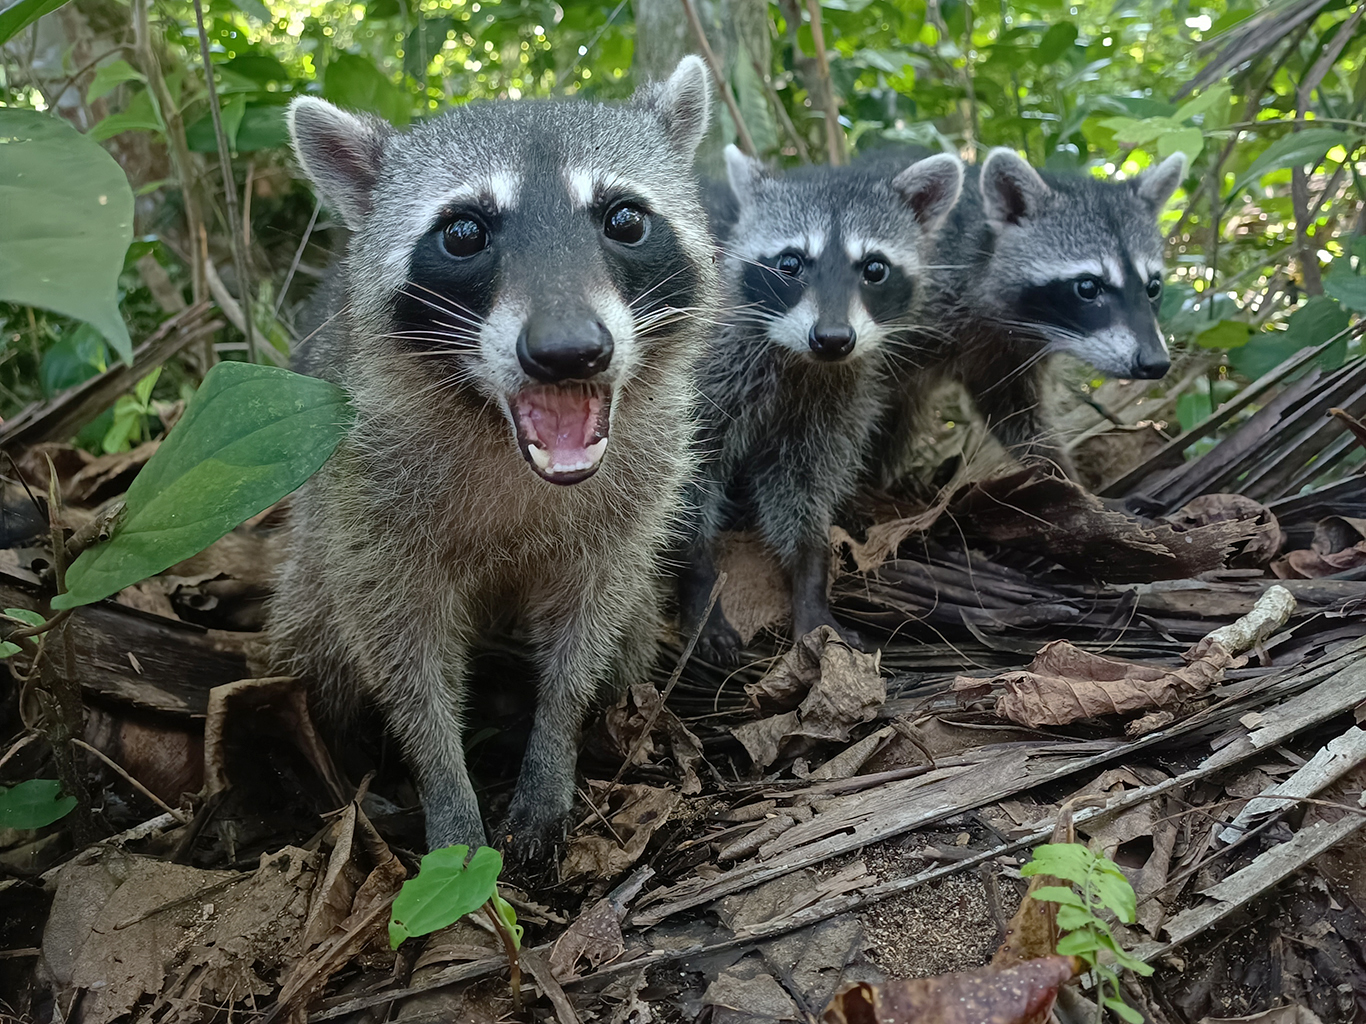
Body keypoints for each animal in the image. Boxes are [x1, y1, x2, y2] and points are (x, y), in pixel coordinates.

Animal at [266, 55, 715, 857]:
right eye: (465, 232)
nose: (568, 349)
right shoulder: (362, 498)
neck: (506, 438)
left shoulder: (636, 492)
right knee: (316, 645)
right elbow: (399, 645)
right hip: (313, 564)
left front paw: (554, 747)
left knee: (631, 631)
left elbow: (590, 623)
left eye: (625, 220)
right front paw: (444, 786)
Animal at [680, 148, 961, 669]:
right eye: (790, 263)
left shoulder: (835, 403)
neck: (804, 362)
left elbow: (803, 488)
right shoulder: (704, 378)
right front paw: (699, 580)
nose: (832, 339)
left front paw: (810, 578)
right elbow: (683, 484)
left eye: (874, 268)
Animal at [874, 146, 1185, 483]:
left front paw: (1061, 477)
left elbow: (1019, 419)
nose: (1156, 363)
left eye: (1153, 287)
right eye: (1088, 287)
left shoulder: (1006, 359)